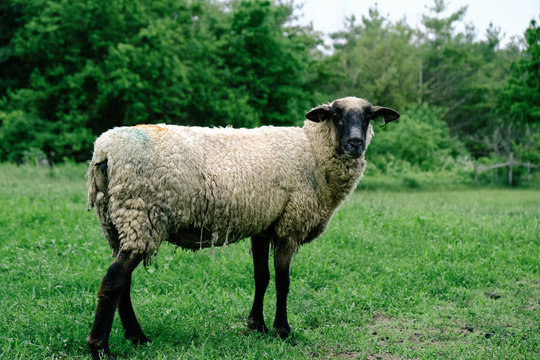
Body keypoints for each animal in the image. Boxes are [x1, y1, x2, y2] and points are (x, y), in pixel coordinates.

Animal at [84, 97, 396, 358]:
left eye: (368, 116)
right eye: (335, 115)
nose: (355, 143)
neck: (313, 154)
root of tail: (104, 150)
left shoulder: (263, 226)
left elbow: (262, 277)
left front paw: (256, 326)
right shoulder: (289, 226)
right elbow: (283, 281)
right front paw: (282, 330)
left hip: (116, 222)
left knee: (123, 282)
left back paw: (137, 337)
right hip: (142, 216)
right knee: (113, 281)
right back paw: (100, 347)